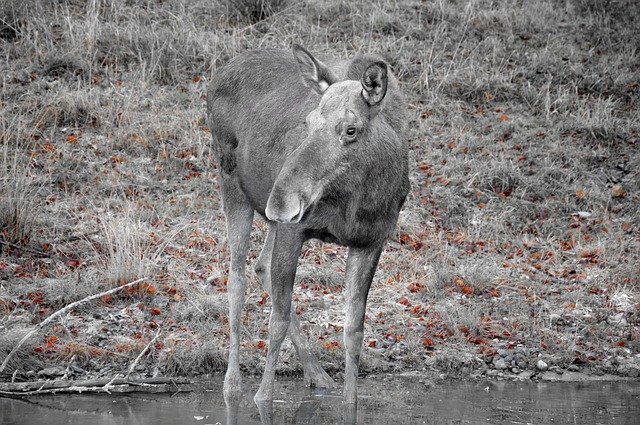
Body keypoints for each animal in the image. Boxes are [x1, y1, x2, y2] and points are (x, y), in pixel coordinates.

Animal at [210, 44, 410, 404]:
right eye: (308, 122)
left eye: (350, 129)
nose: (280, 199)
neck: (357, 203)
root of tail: (219, 71)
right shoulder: (294, 229)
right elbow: (276, 322)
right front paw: (262, 397)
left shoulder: (371, 241)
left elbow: (353, 330)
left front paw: (349, 400)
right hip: (231, 183)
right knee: (236, 278)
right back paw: (232, 384)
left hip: (270, 218)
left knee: (261, 266)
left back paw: (317, 374)